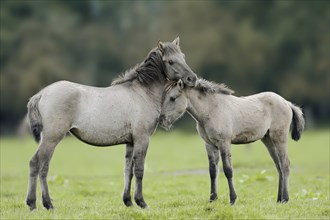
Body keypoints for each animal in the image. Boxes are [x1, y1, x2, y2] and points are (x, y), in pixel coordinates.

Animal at [25, 37, 197, 210]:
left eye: (183, 57)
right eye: (171, 61)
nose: (192, 79)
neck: (142, 93)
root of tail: (41, 94)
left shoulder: (130, 142)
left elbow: (128, 171)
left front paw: (128, 201)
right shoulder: (142, 139)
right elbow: (139, 170)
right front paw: (141, 202)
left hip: (48, 139)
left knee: (43, 167)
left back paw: (46, 204)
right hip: (52, 138)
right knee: (36, 163)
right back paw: (35, 204)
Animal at [160, 78, 304, 205]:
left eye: (173, 98)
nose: (162, 120)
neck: (211, 110)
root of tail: (286, 102)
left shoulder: (224, 143)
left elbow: (228, 170)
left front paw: (233, 199)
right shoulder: (209, 145)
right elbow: (212, 171)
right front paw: (212, 199)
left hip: (279, 137)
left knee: (285, 165)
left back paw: (285, 198)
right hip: (268, 140)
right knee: (278, 166)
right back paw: (279, 199)